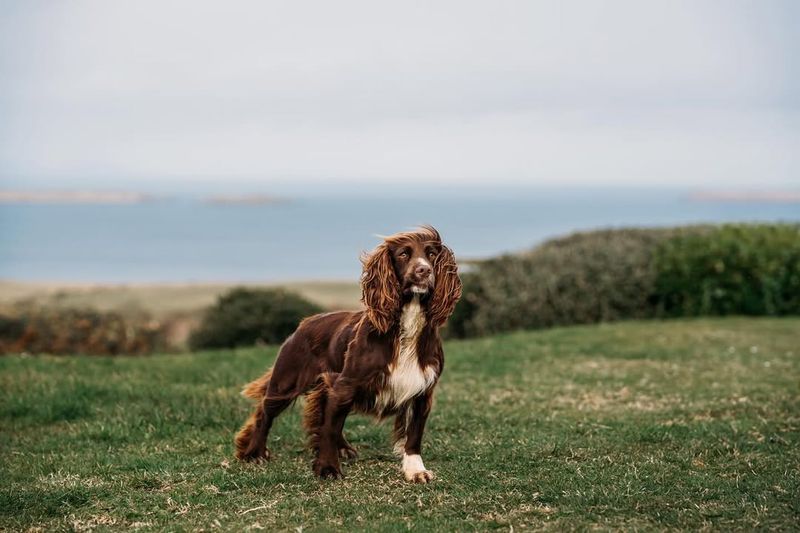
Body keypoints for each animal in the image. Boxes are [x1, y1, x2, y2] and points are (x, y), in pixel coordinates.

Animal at [234, 224, 460, 482]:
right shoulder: (346, 383)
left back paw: (342, 448)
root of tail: (304, 323)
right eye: (404, 254)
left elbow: (414, 434)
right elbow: (330, 427)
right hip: (286, 381)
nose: (424, 270)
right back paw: (255, 452)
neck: (406, 324)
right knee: (266, 412)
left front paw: (415, 470)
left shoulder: (423, 389)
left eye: (432, 254)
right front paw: (327, 467)